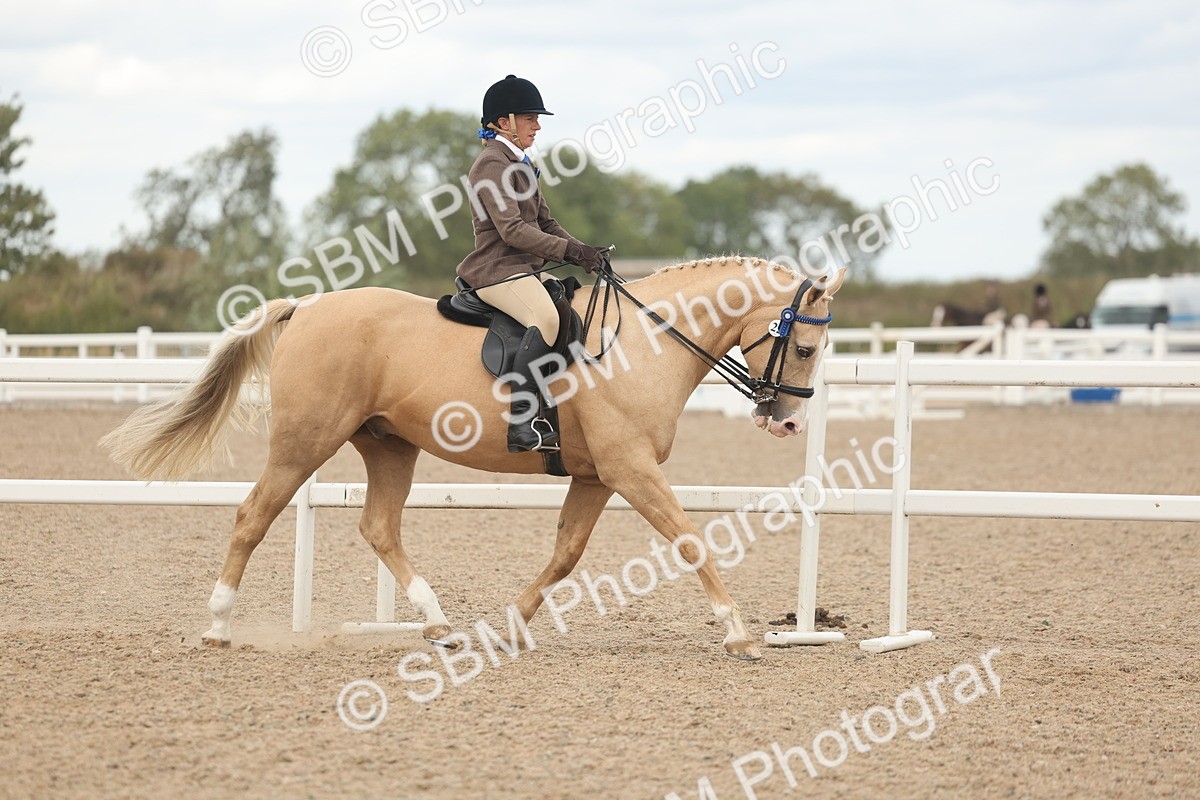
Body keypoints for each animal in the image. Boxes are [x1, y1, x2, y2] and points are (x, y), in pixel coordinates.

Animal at [101, 257, 847, 661]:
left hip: (388, 444)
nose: (787, 421)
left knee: (379, 527)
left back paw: (439, 625)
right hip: (303, 441)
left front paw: (510, 627)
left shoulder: (596, 476)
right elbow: (692, 541)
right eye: (807, 348)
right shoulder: (631, 470)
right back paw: (218, 626)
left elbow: (566, 554)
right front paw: (739, 633)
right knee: (253, 515)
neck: (646, 341)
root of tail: (307, 308)